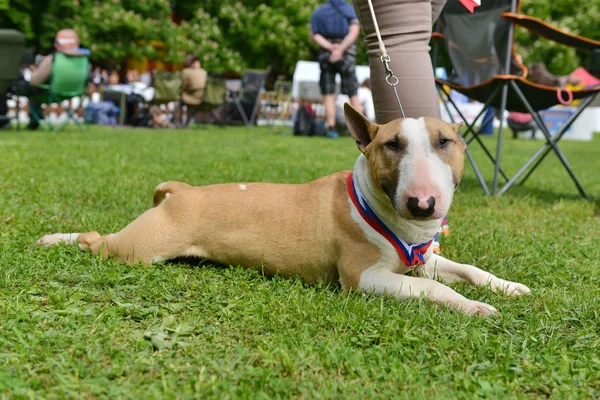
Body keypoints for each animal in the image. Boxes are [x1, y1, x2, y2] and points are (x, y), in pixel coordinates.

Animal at [39, 104, 528, 316]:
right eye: (392, 145)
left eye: (445, 141)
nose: (423, 204)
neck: (377, 206)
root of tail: (183, 191)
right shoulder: (363, 278)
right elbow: (434, 289)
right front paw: (475, 308)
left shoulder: (420, 258)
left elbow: (465, 270)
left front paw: (507, 287)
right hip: (139, 249)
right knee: (96, 241)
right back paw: (53, 238)